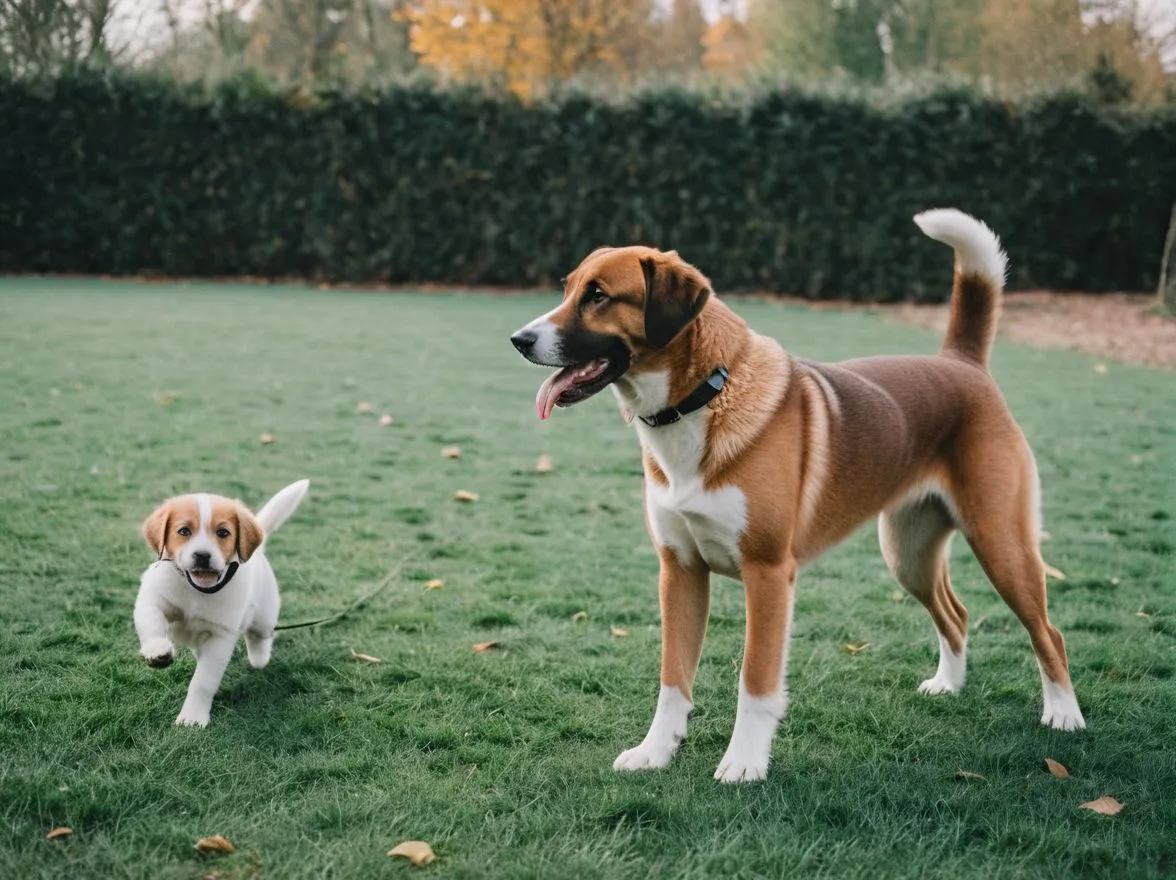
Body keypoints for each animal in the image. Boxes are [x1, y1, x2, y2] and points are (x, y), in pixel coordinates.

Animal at [134, 477, 310, 724]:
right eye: (183, 531)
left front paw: (193, 716)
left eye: (223, 532)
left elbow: (203, 682)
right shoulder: (151, 599)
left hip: (264, 618)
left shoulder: (220, 638)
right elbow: (151, 623)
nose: (202, 555)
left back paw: (259, 658)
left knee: (260, 636)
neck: (197, 591)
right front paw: (157, 650)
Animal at [510, 211, 1086, 785]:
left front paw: (744, 763)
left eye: (599, 296)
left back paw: (1064, 715)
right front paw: (656, 752)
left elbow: (756, 682)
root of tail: (961, 363)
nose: (518, 339)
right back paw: (950, 684)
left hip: (1001, 544)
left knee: (1049, 633)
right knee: (957, 613)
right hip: (908, 556)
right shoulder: (679, 571)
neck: (706, 396)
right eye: (567, 288)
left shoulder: (767, 575)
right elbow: (673, 679)